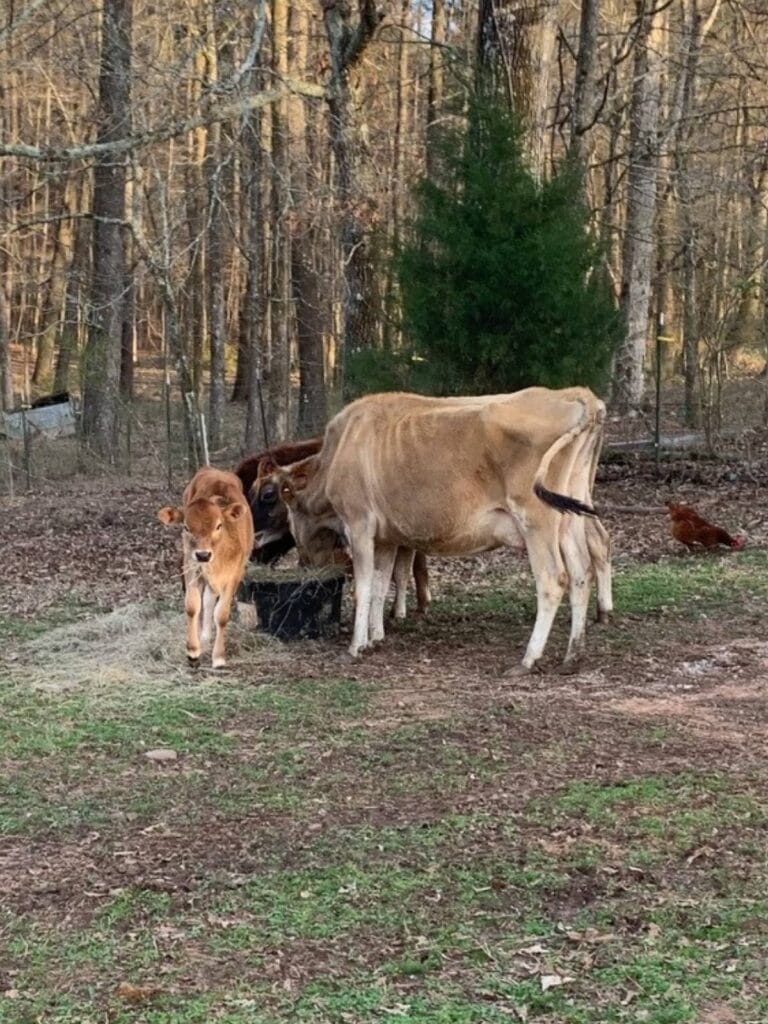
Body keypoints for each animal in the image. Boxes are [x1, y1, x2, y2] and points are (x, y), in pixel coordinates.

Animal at [159, 466, 256, 671]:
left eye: (219, 525)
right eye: (186, 527)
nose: (203, 555)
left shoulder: (234, 574)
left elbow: (222, 614)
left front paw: (218, 657)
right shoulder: (191, 567)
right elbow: (192, 606)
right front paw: (193, 651)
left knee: (210, 601)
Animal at [268, 385, 610, 671]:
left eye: (290, 521)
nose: (303, 563)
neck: (340, 449)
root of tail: (573, 393)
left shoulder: (359, 523)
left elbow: (364, 586)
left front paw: (356, 645)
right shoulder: (386, 537)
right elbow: (381, 582)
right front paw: (375, 637)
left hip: (537, 519)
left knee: (553, 579)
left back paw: (529, 658)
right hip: (570, 516)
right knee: (581, 572)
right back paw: (573, 654)